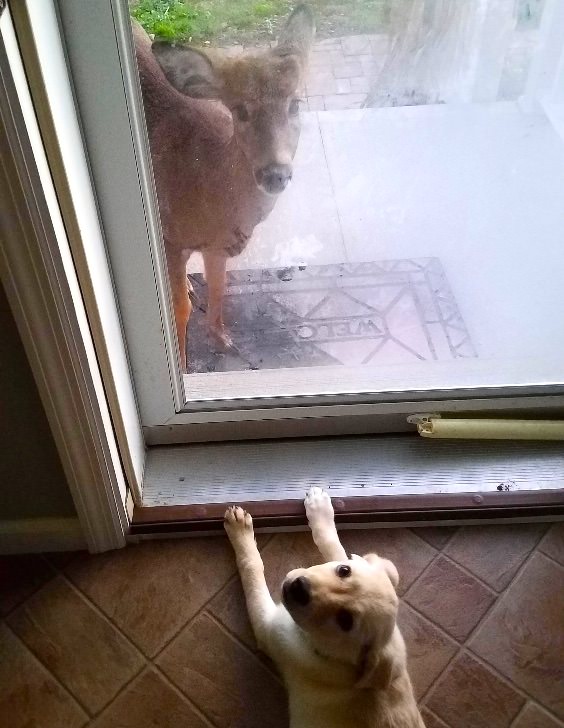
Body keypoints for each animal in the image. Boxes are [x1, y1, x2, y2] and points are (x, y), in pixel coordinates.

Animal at [134, 5, 316, 370]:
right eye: (241, 110)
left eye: (295, 104)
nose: (275, 173)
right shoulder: (169, 236)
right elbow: (179, 308)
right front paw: (184, 366)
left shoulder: (216, 247)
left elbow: (219, 288)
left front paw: (223, 340)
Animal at [223, 484, 426, 728]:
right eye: (344, 571)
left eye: (345, 620)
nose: (299, 588)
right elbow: (333, 545)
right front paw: (319, 508)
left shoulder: (269, 628)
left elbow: (252, 566)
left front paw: (240, 532)